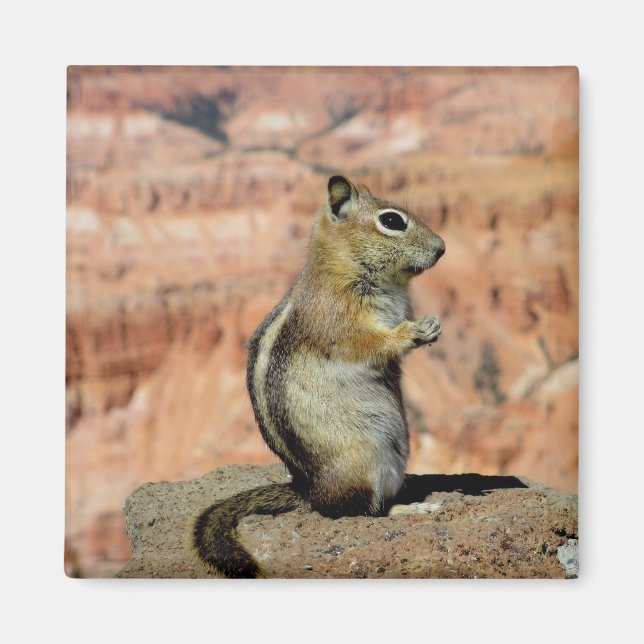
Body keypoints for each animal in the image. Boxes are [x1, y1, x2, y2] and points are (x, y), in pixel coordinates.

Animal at [191, 175, 446, 577]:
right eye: (392, 221)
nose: (442, 249)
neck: (345, 265)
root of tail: (308, 490)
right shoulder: (339, 318)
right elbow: (368, 344)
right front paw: (412, 332)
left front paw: (432, 326)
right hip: (364, 461)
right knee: (355, 512)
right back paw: (412, 509)